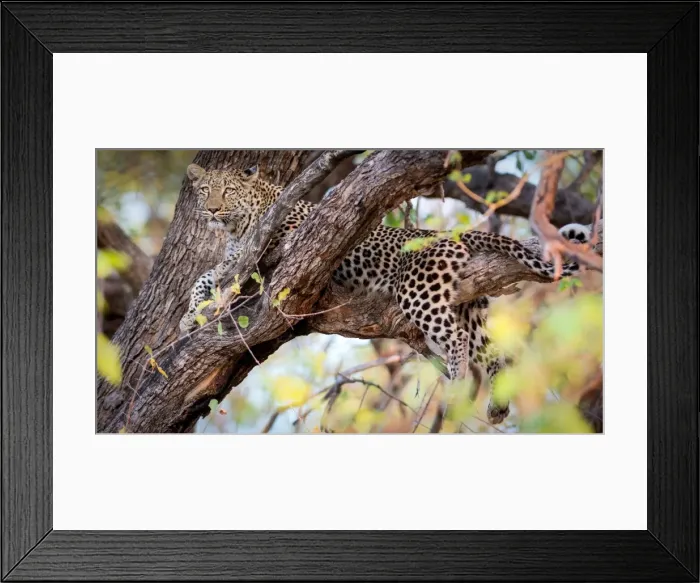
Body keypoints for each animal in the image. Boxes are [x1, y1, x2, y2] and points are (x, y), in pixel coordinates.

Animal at [180, 162, 590, 425]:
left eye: (228, 191)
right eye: (206, 191)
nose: (212, 209)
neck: (239, 225)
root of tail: (449, 235)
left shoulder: (274, 251)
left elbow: (229, 277)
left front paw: (196, 313)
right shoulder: (233, 260)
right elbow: (203, 277)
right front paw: (188, 317)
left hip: (419, 291)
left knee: (456, 340)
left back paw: (456, 385)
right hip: (470, 304)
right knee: (491, 351)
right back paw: (498, 407)